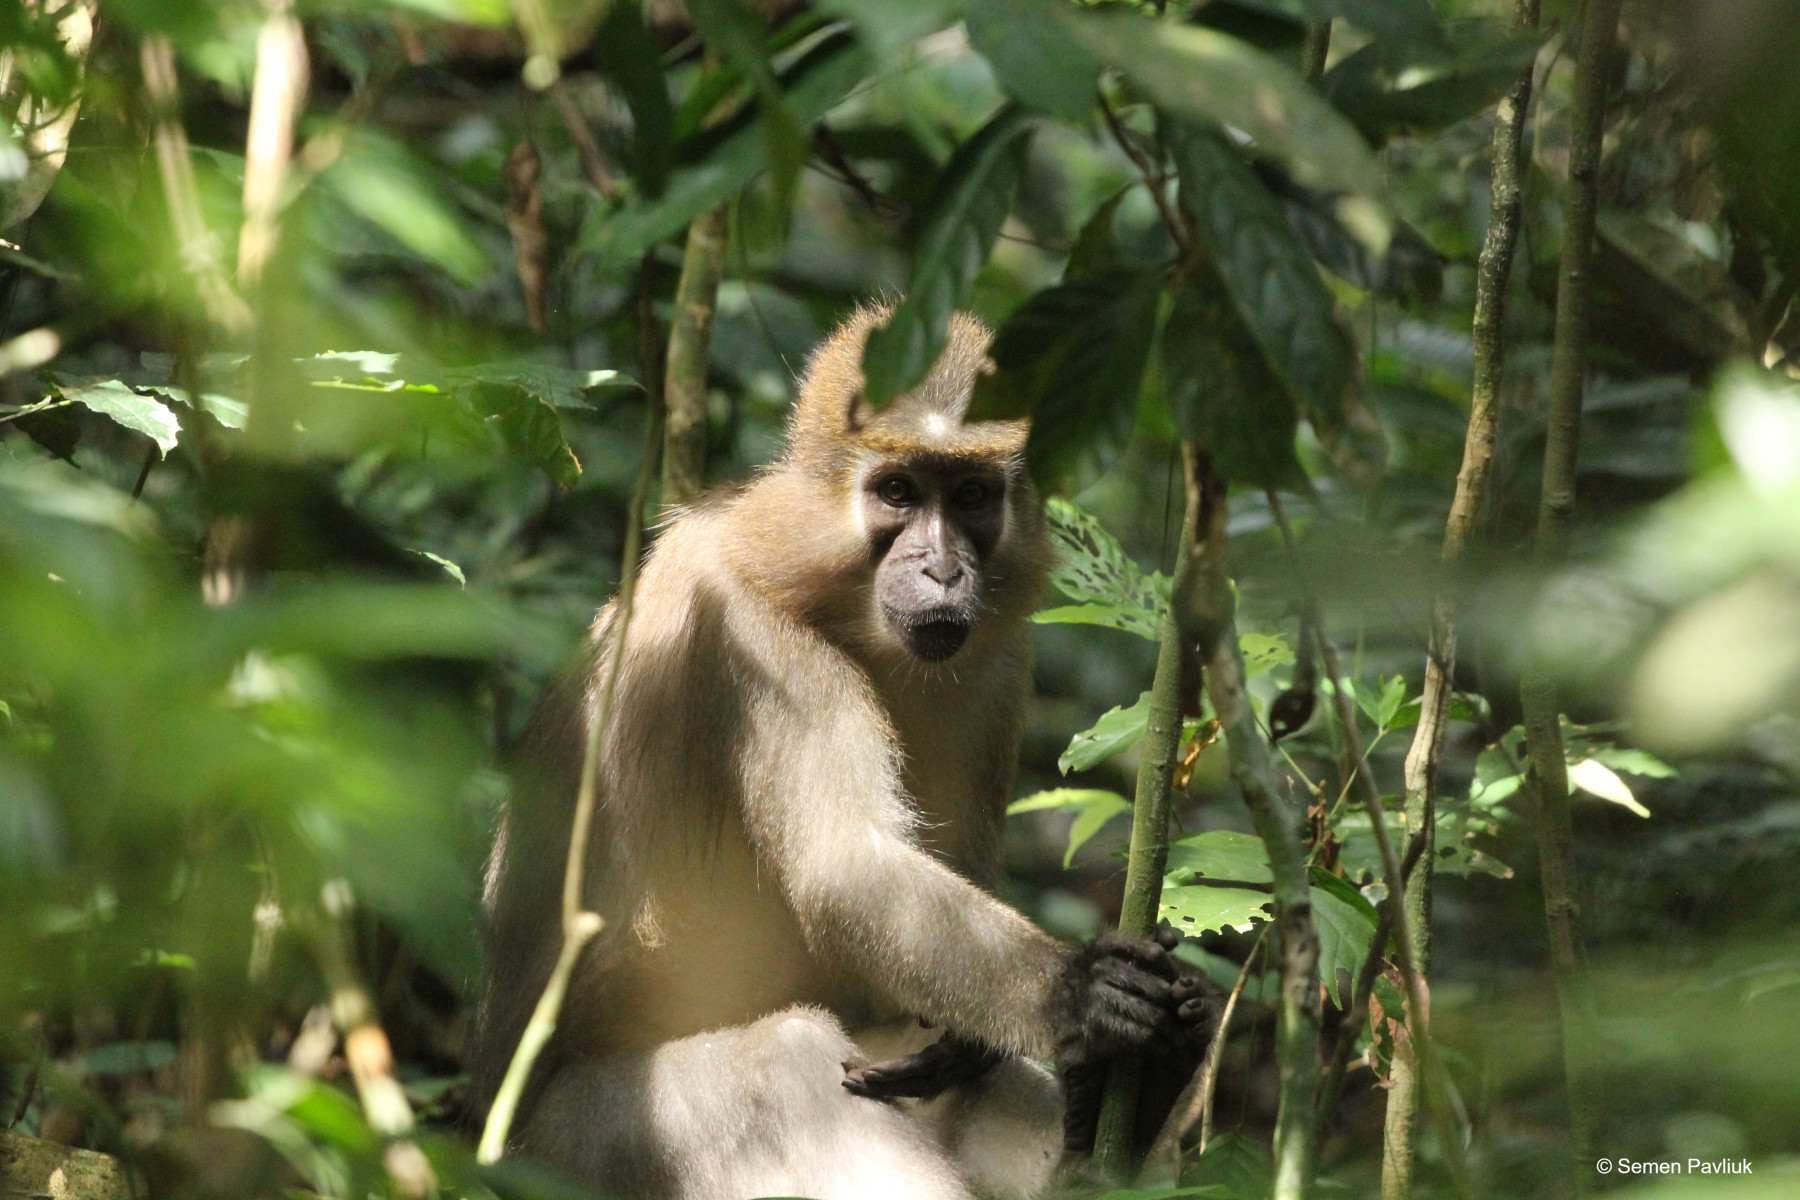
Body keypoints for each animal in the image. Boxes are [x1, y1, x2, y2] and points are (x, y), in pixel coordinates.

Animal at [471, 309, 1216, 1200]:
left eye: (971, 495)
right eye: (898, 493)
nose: (942, 569)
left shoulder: (1001, 661)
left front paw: (1004, 1046)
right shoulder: (750, 632)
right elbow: (845, 867)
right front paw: (1074, 996)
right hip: (572, 1148)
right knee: (785, 1065)